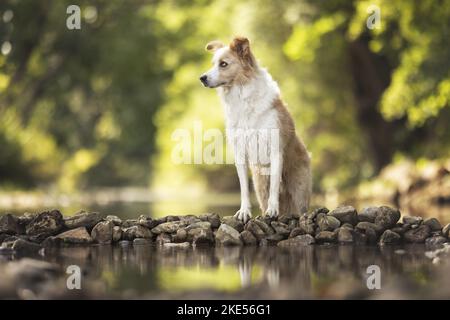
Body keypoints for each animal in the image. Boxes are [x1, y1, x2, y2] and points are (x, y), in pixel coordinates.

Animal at [199, 37, 312, 222]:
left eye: (223, 64)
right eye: (213, 63)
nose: (202, 78)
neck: (242, 95)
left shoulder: (275, 150)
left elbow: (274, 187)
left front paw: (272, 211)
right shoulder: (240, 153)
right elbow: (244, 188)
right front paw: (244, 212)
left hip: (299, 190)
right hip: (260, 185)